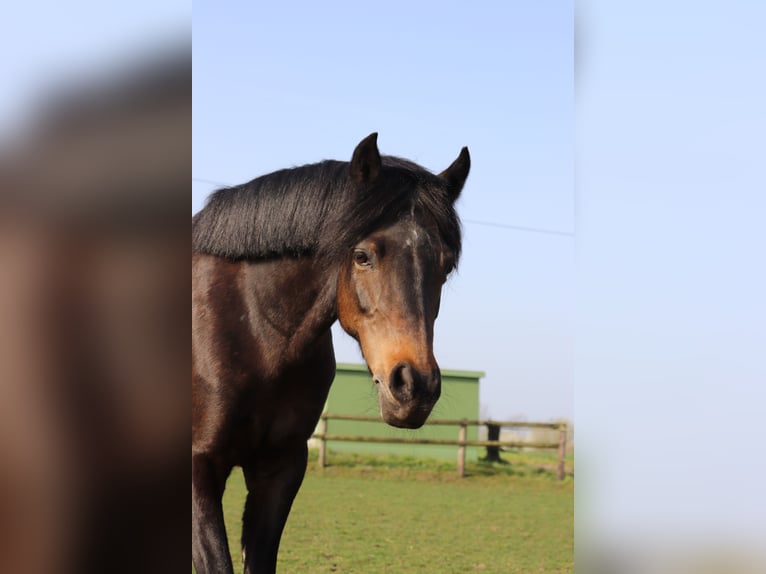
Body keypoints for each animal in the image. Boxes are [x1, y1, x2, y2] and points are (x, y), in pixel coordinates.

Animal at [192, 134, 468, 574]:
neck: (254, 330)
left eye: (444, 265)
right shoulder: (199, 469)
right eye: (362, 256)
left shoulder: (281, 468)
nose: (415, 387)